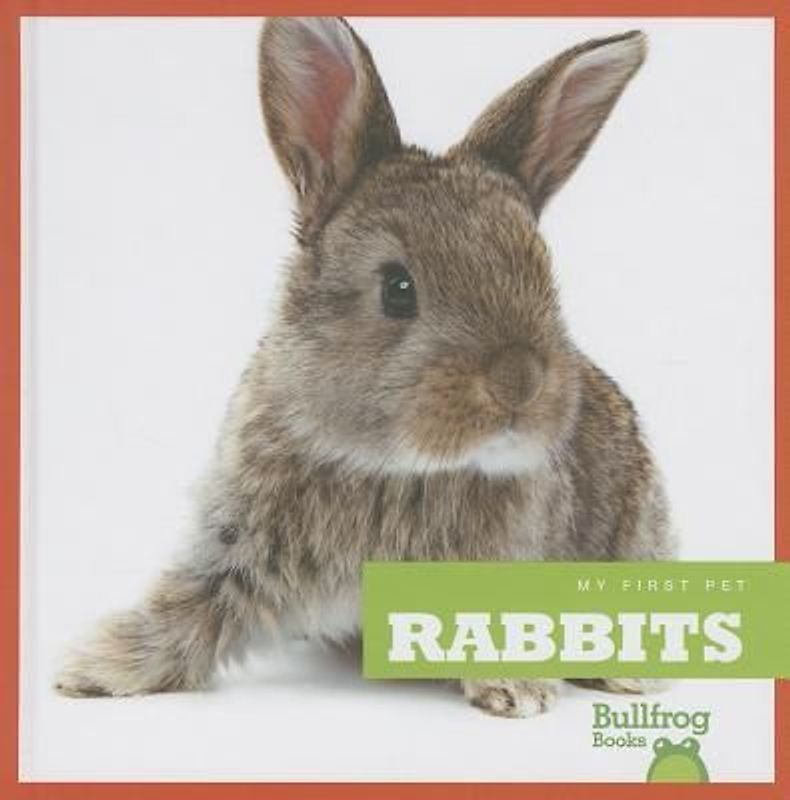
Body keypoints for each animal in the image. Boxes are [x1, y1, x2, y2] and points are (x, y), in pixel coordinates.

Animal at [55, 17, 674, 718]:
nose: (519, 383)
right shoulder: (235, 553)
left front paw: (516, 690)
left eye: (546, 277)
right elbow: (186, 613)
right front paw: (93, 670)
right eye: (398, 289)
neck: (389, 465)